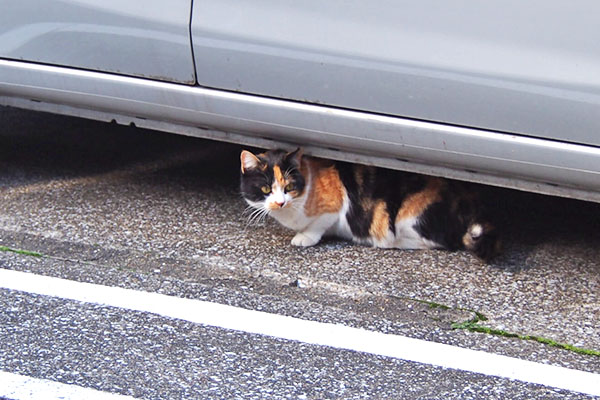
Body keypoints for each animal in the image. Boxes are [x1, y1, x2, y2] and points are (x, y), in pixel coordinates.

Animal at [241, 148, 500, 260]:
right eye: (266, 189)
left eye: (288, 187)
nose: (279, 202)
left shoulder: (335, 205)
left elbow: (318, 225)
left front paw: (304, 237)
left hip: (407, 216)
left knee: (441, 242)